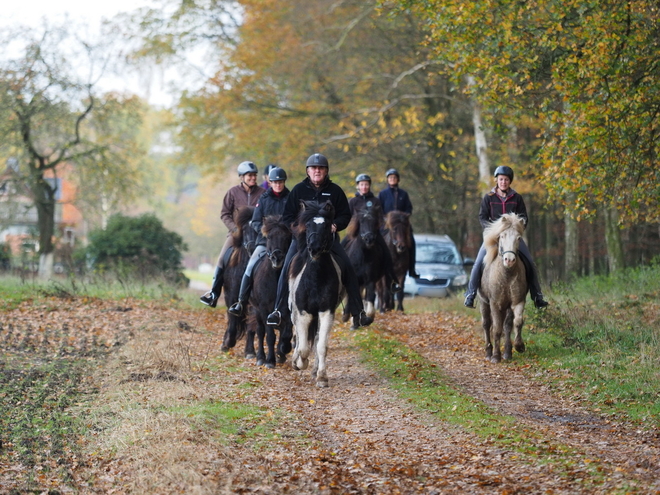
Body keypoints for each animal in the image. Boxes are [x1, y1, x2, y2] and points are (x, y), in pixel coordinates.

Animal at [248, 216, 294, 368]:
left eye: (287, 237)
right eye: (268, 237)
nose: (277, 258)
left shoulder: (287, 309)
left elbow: (286, 333)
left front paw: (283, 350)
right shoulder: (264, 309)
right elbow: (270, 336)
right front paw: (270, 360)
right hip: (256, 310)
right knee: (260, 331)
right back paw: (261, 357)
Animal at [288, 200, 346, 390]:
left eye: (327, 225)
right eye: (308, 225)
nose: (314, 248)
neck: (316, 277)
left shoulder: (326, 312)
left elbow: (321, 345)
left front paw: (321, 377)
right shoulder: (303, 313)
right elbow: (303, 346)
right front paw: (299, 362)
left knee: (316, 338)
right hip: (293, 311)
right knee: (299, 337)